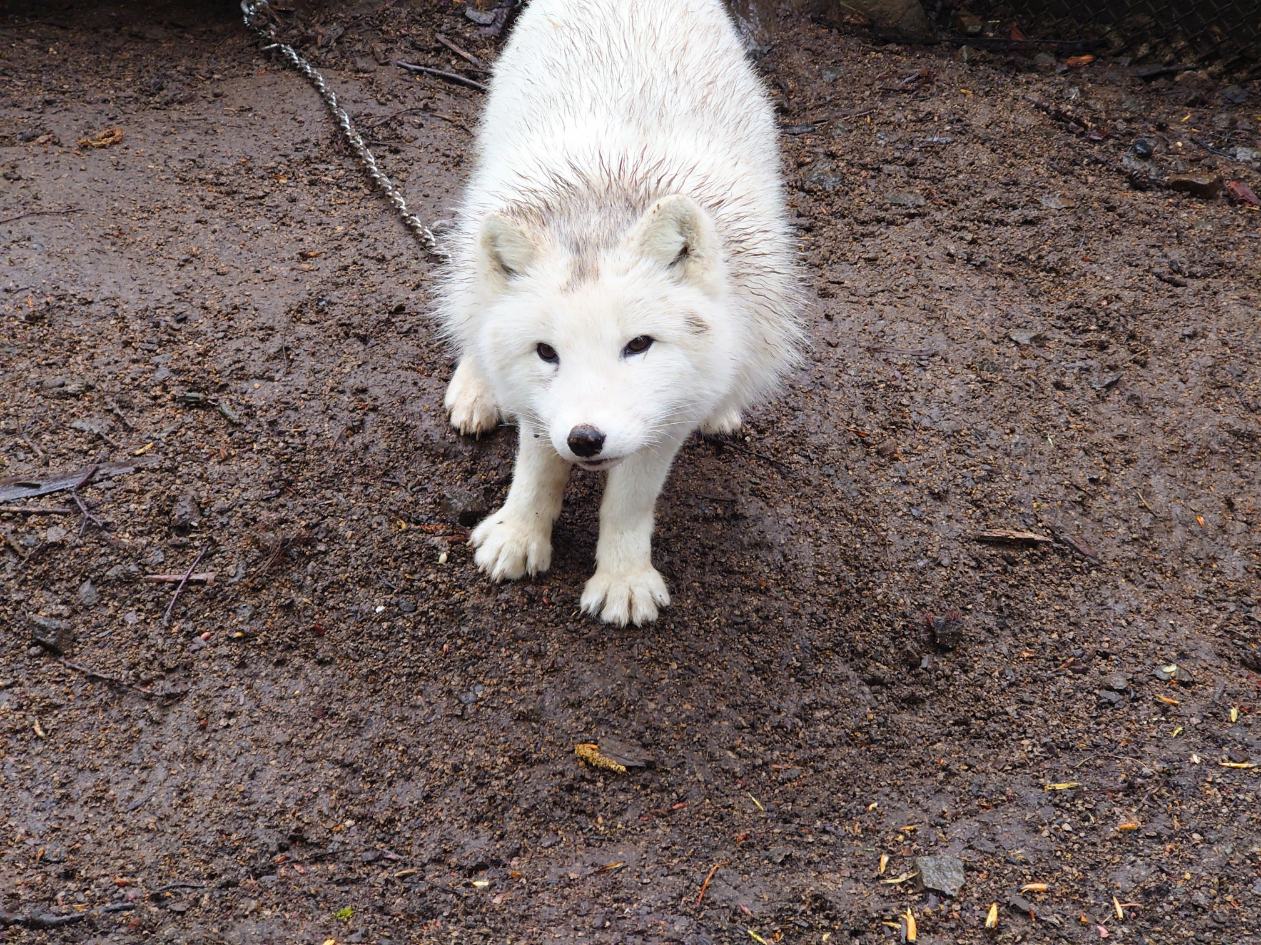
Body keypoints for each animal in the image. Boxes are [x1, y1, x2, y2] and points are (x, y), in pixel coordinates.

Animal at [438, 0, 801, 625]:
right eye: (546, 352)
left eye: (638, 345)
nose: (585, 439)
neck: (604, 204)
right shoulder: (544, 411)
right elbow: (535, 471)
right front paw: (518, 535)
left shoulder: (666, 420)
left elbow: (629, 505)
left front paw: (623, 579)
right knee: (472, 302)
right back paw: (476, 387)